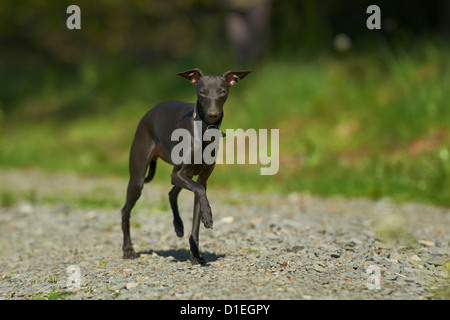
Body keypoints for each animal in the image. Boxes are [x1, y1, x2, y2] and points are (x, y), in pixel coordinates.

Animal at [121, 68, 251, 264]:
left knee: (171, 193)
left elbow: (197, 217)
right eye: (202, 92)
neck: (203, 130)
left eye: (222, 91)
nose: (213, 114)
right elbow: (200, 192)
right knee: (125, 211)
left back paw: (178, 226)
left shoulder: (200, 179)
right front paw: (208, 216)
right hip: (138, 179)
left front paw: (196, 254)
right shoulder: (180, 175)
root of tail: (148, 113)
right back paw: (128, 249)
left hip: (184, 174)